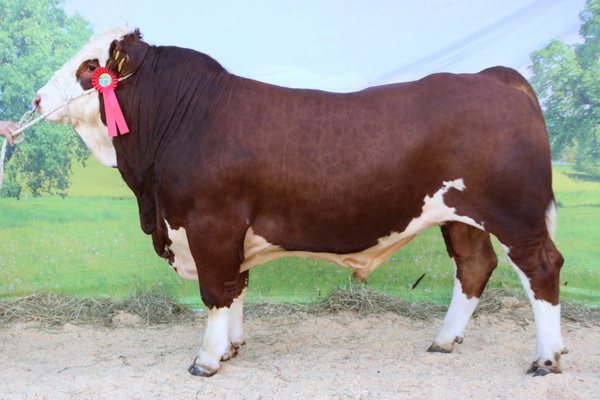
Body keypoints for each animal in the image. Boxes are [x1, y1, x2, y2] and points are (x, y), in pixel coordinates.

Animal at [32, 26, 568, 376]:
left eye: (90, 67)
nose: (36, 99)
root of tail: (493, 76)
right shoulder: (230, 233)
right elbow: (236, 287)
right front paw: (231, 348)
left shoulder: (209, 224)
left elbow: (214, 291)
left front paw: (206, 360)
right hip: (461, 217)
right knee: (474, 266)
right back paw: (444, 341)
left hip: (516, 216)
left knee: (542, 268)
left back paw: (546, 357)